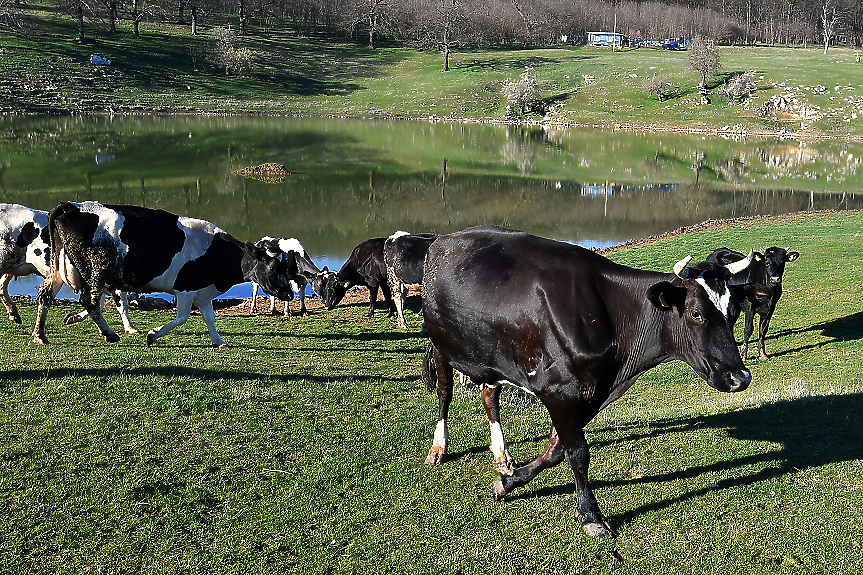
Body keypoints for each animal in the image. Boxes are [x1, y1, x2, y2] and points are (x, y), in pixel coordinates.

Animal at [0, 205, 137, 336]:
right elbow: (121, 304)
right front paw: (130, 328)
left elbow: (99, 303)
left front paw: (74, 318)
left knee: (2, 286)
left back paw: (14, 313)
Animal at [33, 201, 296, 346]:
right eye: (273, 267)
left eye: (286, 267)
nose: (289, 294)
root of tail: (72, 206)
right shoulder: (186, 289)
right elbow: (182, 318)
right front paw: (152, 335)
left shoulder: (203, 292)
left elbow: (209, 318)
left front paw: (219, 341)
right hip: (96, 271)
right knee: (90, 301)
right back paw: (109, 334)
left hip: (58, 270)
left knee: (46, 296)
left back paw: (40, 335)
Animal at [422, 226, 752, 540]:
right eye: (696, 313)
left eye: (734, 311)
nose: (740, 377)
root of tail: (443, 239)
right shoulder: (558, 388)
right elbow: (578, 452)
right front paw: (591, 516)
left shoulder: (592, 390)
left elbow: (557, 449)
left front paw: (508, 481)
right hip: (440, 345)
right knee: (444, 394)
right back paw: (438, 448)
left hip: (489, 354)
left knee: (490, 396)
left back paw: (502, 456)